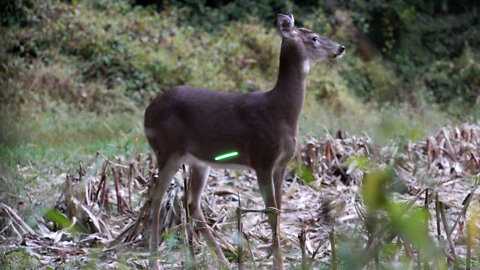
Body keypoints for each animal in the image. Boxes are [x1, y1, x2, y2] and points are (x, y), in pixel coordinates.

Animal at [144, 13, 344, 268]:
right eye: (314, 38)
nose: (341, 47)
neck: (280, 113)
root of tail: (147, 111)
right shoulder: (262, 158)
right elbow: (270, 212)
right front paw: (278, 263)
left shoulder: (281, 164)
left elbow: (279, 209)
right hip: (167, 149)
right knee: (157, 196)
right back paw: (154, 259)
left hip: (199, 160)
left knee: (191, 203)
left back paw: (222, 259)